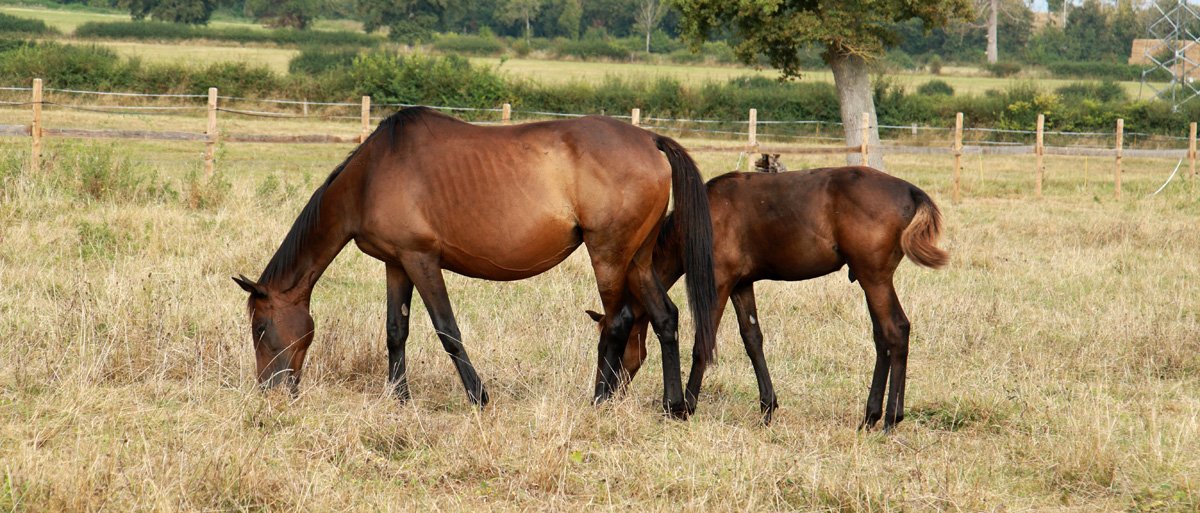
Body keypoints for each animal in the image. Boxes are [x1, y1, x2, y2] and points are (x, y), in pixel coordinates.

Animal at [233, 107, 717, 417]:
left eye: (260, 329)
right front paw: (398, 398)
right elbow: (395, 331)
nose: (270, 392)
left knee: (617, 323)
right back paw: (673, 407)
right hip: (637, 259)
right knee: (665, 317)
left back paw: (599, 401)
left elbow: (447, 330)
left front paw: (478, 397)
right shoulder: (396, 264)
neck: (371, 176)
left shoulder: (421, 260)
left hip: (610, 256)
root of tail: (650, 139)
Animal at [586, 165, 947, 428]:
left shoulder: (719, 282)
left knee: (895, 331)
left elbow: (703, 343)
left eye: (610, 344)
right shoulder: (741, 285)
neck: (704, 215)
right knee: (882, 338)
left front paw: (685, 407)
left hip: (874, 278)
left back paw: (890, 419)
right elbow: (752, 339)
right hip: (871, 280)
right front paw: (767, 408)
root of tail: (910, 192)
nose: (605, 397)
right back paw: (871, 416)